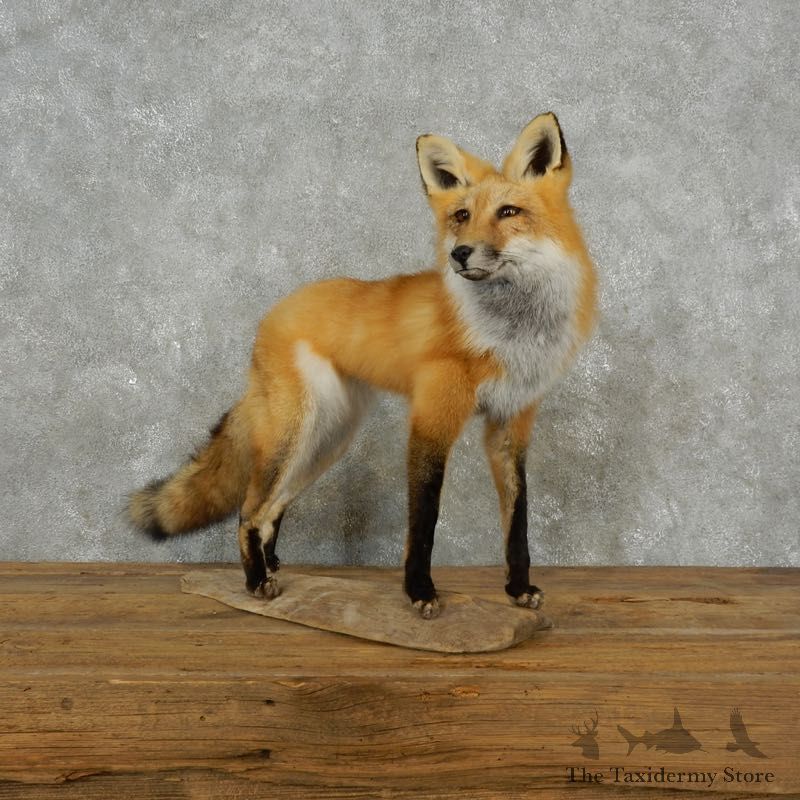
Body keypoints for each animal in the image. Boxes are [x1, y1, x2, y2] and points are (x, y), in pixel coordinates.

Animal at [128, 112, 597, 619]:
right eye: (461, 216)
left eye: (509, 212)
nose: (460, 254)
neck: (510, 333)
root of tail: (275, 312)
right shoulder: (432, 420)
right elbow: (424, 523)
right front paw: (420, 591)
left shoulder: (510, 427)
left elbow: (518, 523)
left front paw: (517, 589)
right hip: (295, 433)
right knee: (248, 511)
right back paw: (255, 582)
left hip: (329, 439)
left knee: (271, 511)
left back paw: (271, 570)